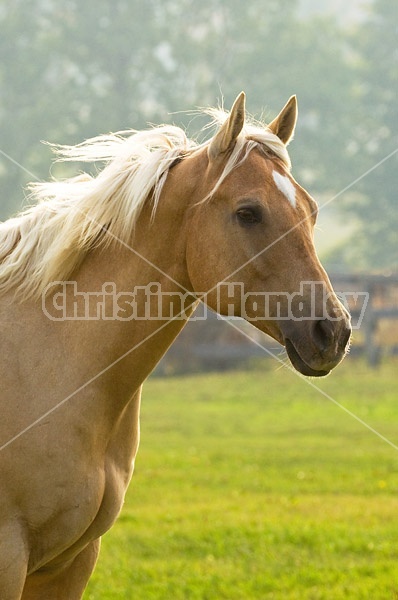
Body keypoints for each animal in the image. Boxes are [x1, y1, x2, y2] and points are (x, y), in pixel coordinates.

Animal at [0, 91, 348, 596]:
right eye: (247, 213)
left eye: (312, 210)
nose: (333, 331)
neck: (46, 367)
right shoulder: (10, 559)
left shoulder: (69, 564)